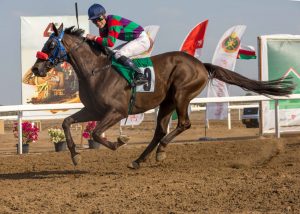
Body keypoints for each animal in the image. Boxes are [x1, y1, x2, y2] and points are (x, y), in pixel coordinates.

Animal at [31, 24, 294, 169]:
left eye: (50, 44)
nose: (36, 69)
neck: (96, 70)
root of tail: (200, 64)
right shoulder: (94, 110)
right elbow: (66, 122)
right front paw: (75, 155)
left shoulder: (116, 111)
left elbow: (96, 133)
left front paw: (118, 142)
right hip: (166, 102)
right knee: (159, 131)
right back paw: (139, 160)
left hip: (181, 95)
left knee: (183, 124)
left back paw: (160, 151)